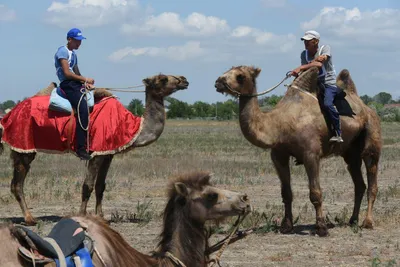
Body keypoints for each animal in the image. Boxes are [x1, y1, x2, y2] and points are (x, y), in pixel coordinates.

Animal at [0, 74, 189, 227]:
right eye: (163, 78)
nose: (183, 79)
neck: (131, 126)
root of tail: (7, 115)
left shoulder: (107, 154)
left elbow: (100, 186)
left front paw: (102, 217)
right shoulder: (95, 153)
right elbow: (87, 185)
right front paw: (82, 216)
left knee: (16, 183)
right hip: (23, 145)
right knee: (17, 184)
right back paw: (30, 219)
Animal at [216, 66, 382, 237]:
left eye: (240, 76)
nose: (218, 82)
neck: (279, 124)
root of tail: (366, 108)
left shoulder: (311, 154)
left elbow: (315, 192)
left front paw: (321, 228)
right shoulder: (278, 155)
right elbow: (286, 193)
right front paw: (286, 226)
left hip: (372, 135)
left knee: (371, 175)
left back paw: (368, 222)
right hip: (350, 152)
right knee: (359, 183)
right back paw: (352, 220)